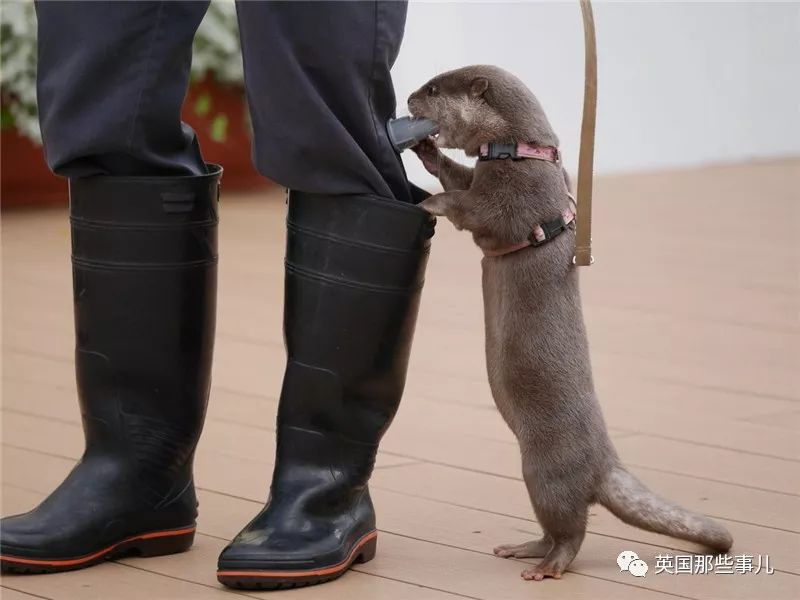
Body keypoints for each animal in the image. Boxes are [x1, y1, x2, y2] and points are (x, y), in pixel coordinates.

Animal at [406, 65, 732, 580]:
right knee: (555, 526)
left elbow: (471, 207)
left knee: (572, 527)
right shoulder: (484, 175)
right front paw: (426, 150)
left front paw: (431, 203)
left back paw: (549, 565)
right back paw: (524, 548)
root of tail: (604, 460)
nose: (408, 98)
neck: (522, 151)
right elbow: (461, 175)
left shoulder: (513, 199)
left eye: (434, 89)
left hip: (545, 469)